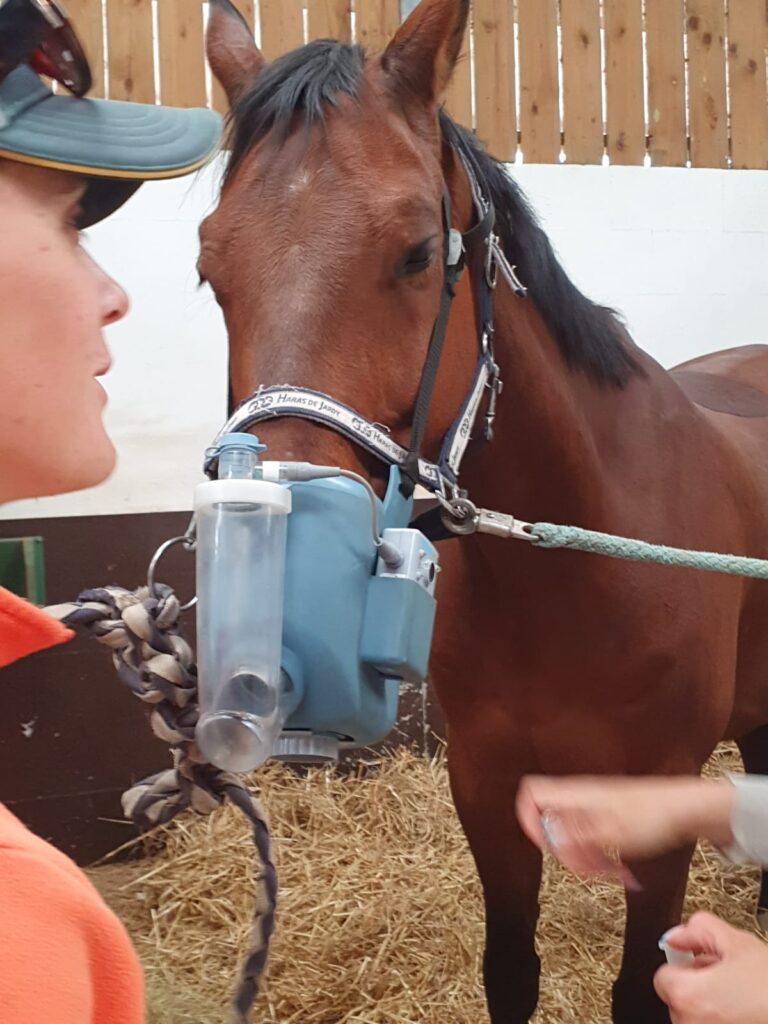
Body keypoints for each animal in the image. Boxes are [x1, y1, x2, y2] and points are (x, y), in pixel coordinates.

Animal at [202, 1, 768, 1020]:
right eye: (208, 266)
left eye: (418, 253)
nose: (285, 566)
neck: (574, 569)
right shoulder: (488, 783)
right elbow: (510, 970)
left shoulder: (662, 804)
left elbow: (643, 986)